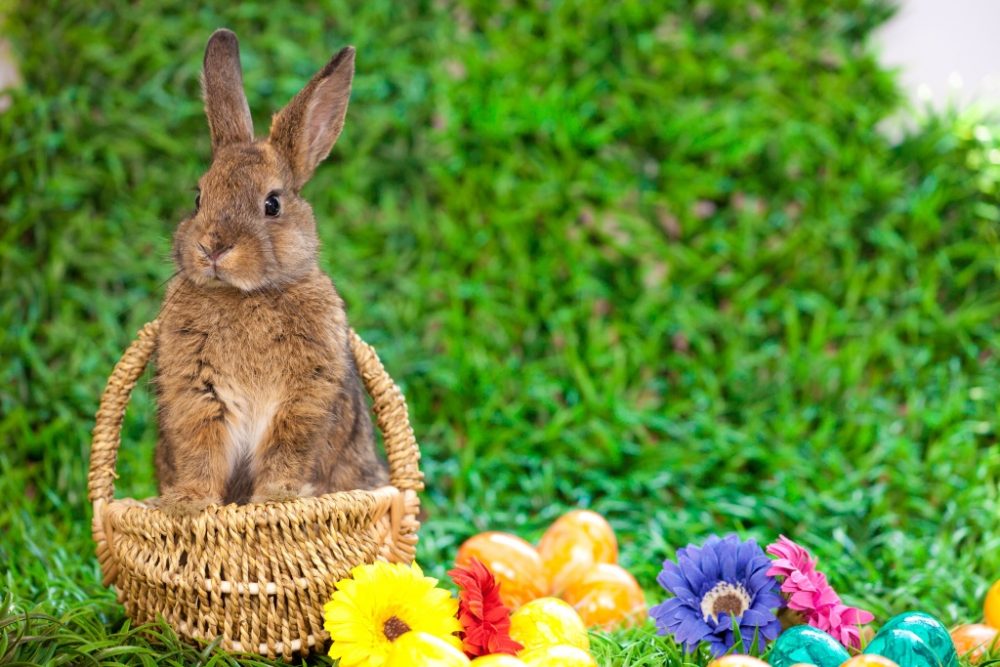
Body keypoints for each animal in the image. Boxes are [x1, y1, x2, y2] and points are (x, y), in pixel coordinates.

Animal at [152, 28, 386, 516]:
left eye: (272, 204)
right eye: (199, 198)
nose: (213, 247)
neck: (247, 295)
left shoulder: (304, 398)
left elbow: (287, 449)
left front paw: (278, 499)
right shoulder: (196, 395)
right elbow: (200, 451)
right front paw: (188, 503)